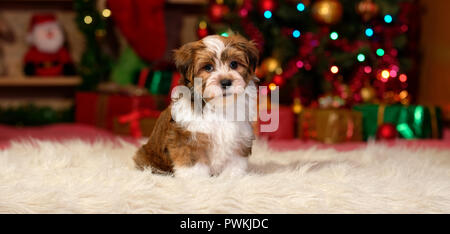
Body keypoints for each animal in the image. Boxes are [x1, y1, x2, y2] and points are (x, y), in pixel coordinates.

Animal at [134, 34, 258, 177]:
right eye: (208, 67)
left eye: (234, 64)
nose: (226, 82)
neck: (218, 106)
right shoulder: (188, 137)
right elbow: (193, 161)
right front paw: (197, 179)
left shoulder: (239, 137)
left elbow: (235, 161)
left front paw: (232, 176)